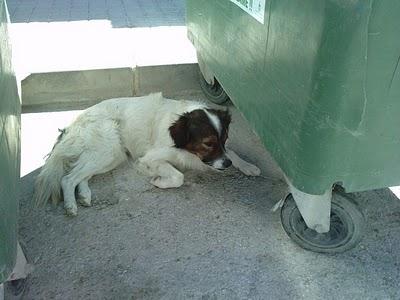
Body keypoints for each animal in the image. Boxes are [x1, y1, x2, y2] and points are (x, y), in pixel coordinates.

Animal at [33, 92, 260, 214]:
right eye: (208, 143)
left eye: (224, 139)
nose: (227, 165)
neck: (181, 145)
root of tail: (72, 124)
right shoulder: (149, 158)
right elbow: (178, 176)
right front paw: (158, 181)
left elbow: (234, 153)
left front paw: (248, 166)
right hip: (109, 149)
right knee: (68, 178)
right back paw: (71, 206)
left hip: (111, 156)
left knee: (80, 175)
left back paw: (84, 196)